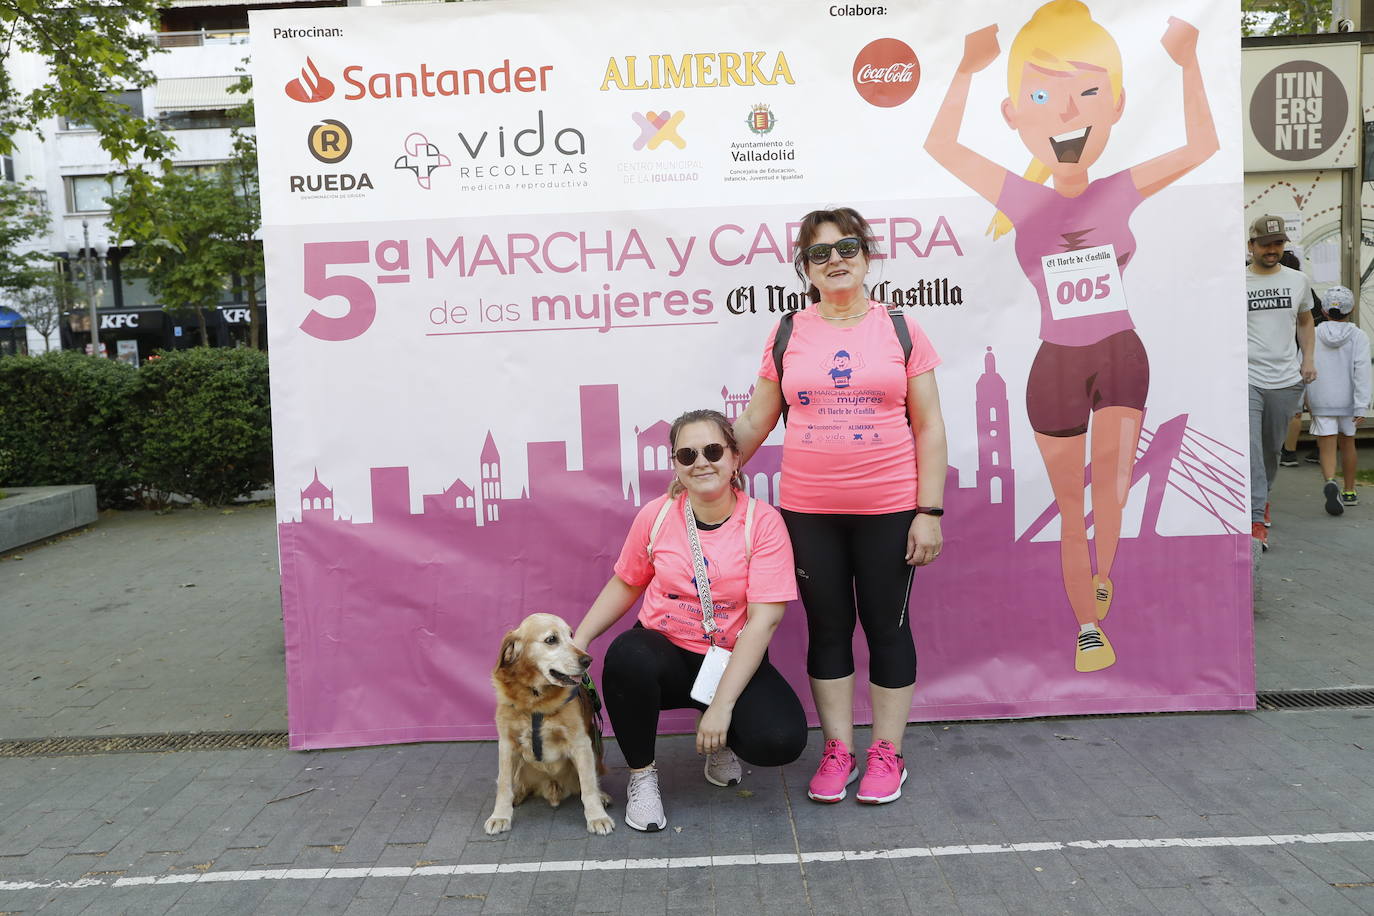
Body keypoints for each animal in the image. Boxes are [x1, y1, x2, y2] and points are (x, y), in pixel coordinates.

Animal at [483, 612, 612, 834]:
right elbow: (504, 786)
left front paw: (597, 817)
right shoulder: (507, 744)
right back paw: (518, 794)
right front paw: (500, 815)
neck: (535, 700)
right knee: (514, 783)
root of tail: (551, 786)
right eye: (551, 639)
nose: (588, 660)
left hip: (596, 743)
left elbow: (588, 787)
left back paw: (601, 796)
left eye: (571, 635)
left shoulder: (581, 743)